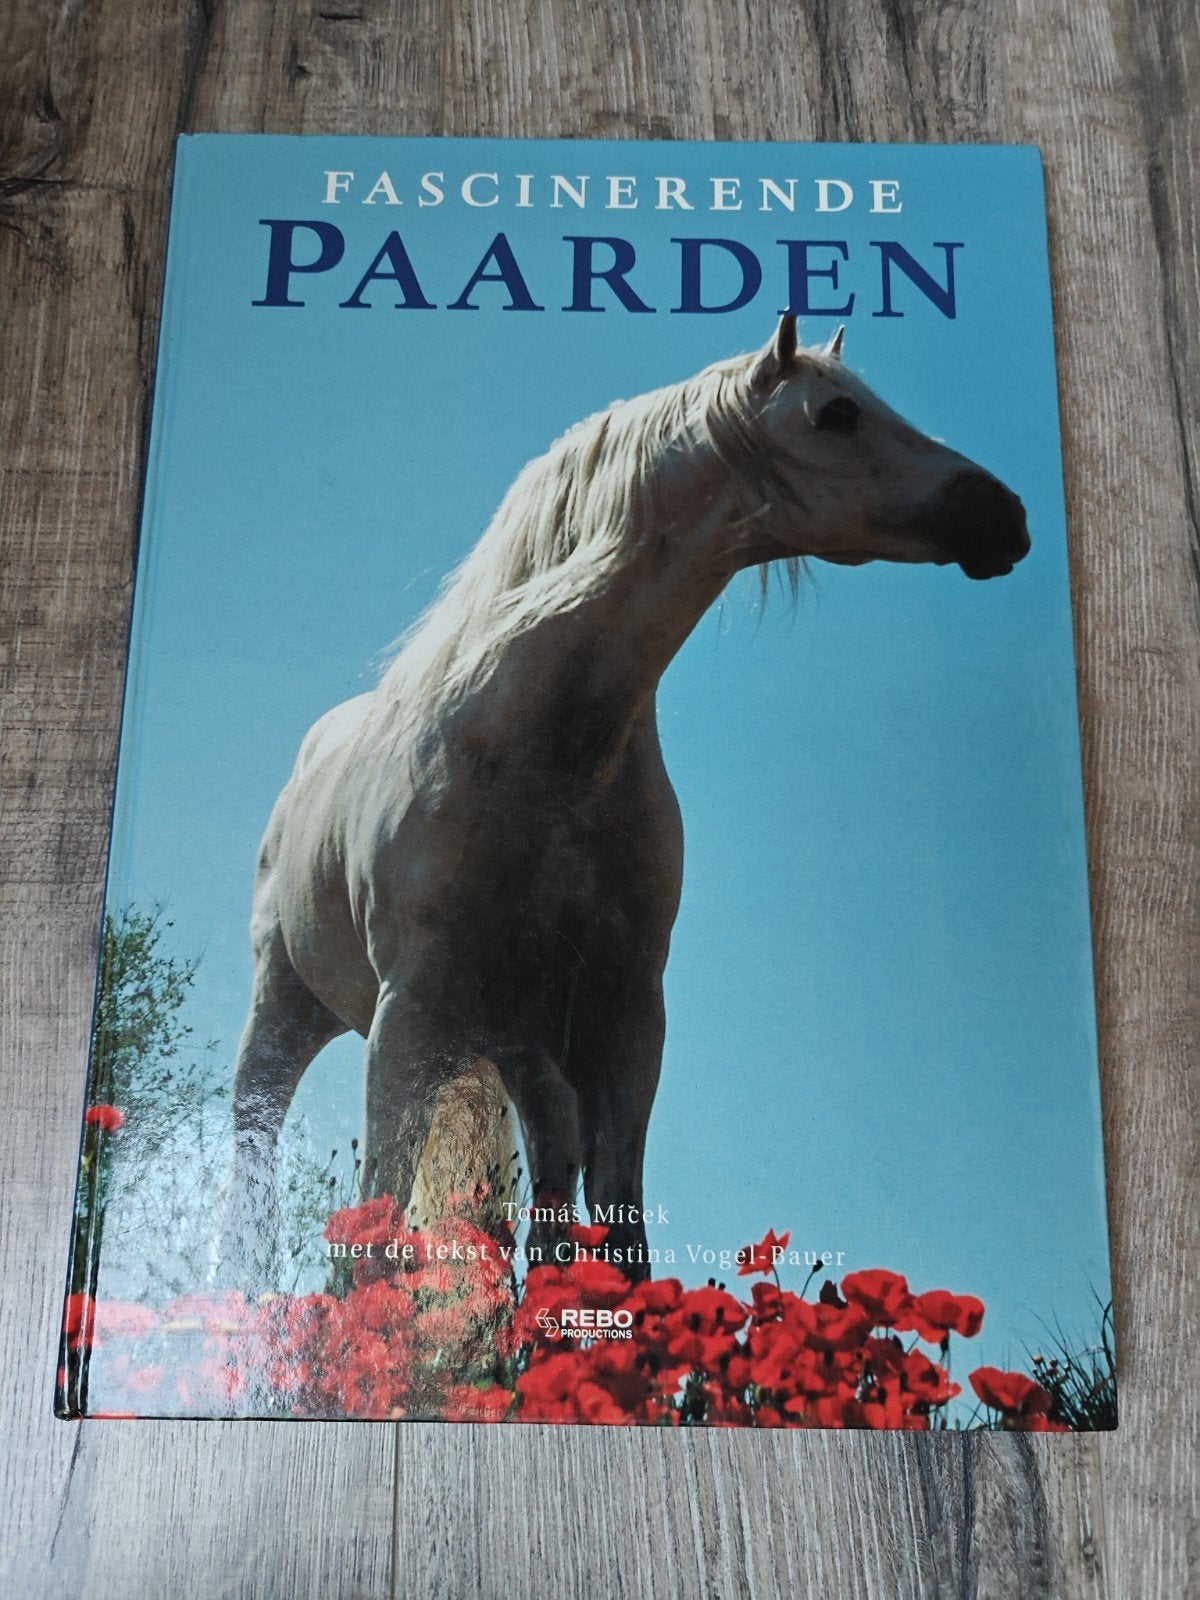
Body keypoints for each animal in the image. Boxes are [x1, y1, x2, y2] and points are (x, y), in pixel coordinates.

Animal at [221, 315, 1029, 1283]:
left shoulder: (625, 1018)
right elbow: (368, 1243)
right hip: (284, 1018)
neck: (544, 756)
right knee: (253, 1180)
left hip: (527, 1057)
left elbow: (622, 1237)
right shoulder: (408, 1018)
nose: (1005, 516)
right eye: (836, 413)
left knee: (546, 1219)